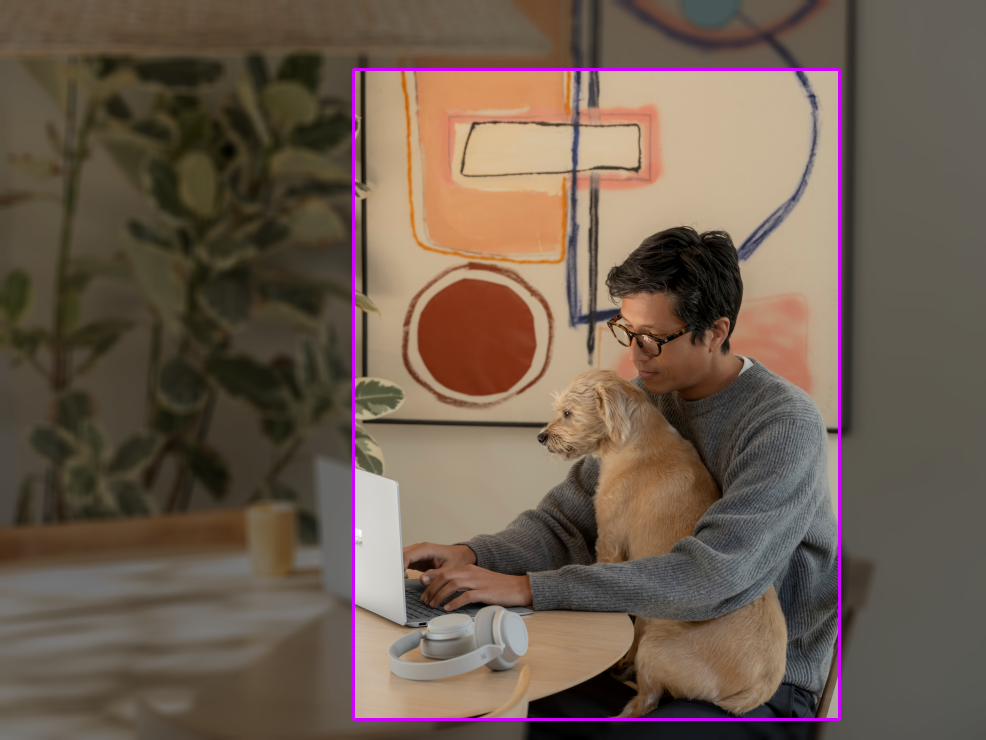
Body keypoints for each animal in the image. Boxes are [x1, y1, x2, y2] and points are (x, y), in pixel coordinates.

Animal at [540, 370, 784, 716]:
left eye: (568, 413)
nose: (541, 436)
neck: (634, 441)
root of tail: (757, 691)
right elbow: (637, 621)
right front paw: (624, 659)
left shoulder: (610, 546)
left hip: (656, 649)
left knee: (647, 701)